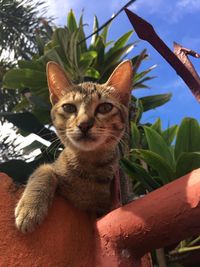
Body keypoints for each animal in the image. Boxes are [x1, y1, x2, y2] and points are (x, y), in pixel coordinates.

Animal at [14, 59, 133, 233]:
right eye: (69, 107)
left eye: (105, 107)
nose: (84, 124)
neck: (89, 167)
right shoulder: (51, 167)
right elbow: (43, 172)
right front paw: (29, 209)